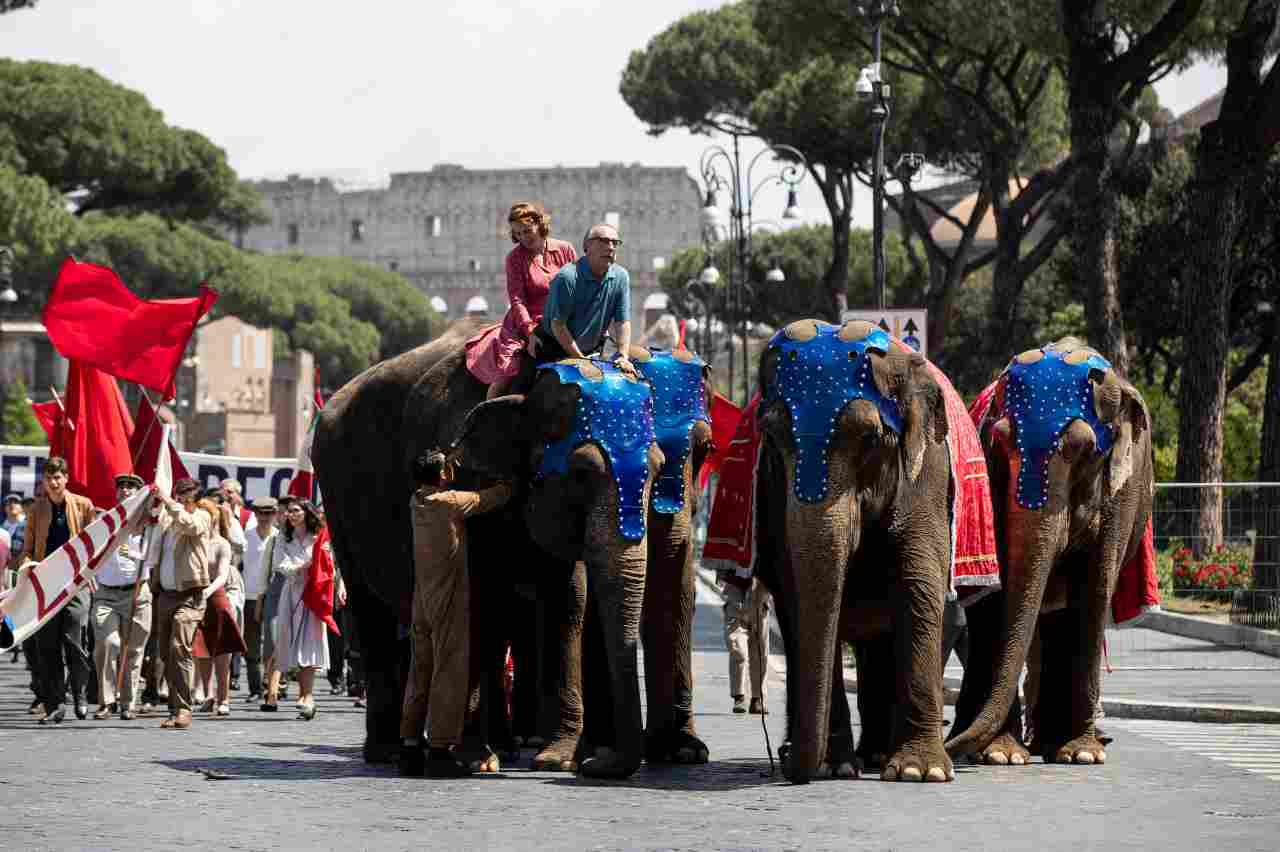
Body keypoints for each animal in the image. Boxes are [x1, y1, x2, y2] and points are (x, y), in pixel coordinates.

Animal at [752, 318, 957, 782]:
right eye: (771, 435)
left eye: (870, 437)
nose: (786, 763)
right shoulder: (773, 492)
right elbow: (797, 594)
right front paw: (834, 766)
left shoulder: (927, 471)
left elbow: (919, 582)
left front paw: (919, 772)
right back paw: (865, 757)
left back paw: (882, 757)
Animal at [947, 337, 1157, 762]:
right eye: (999, 440)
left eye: (1084, 449)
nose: (949, 747)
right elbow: (997, 595)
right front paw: (1001, 755)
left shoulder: (1123, 491)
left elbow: (1096, 589)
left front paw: (1084, 754)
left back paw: (1055, 744)